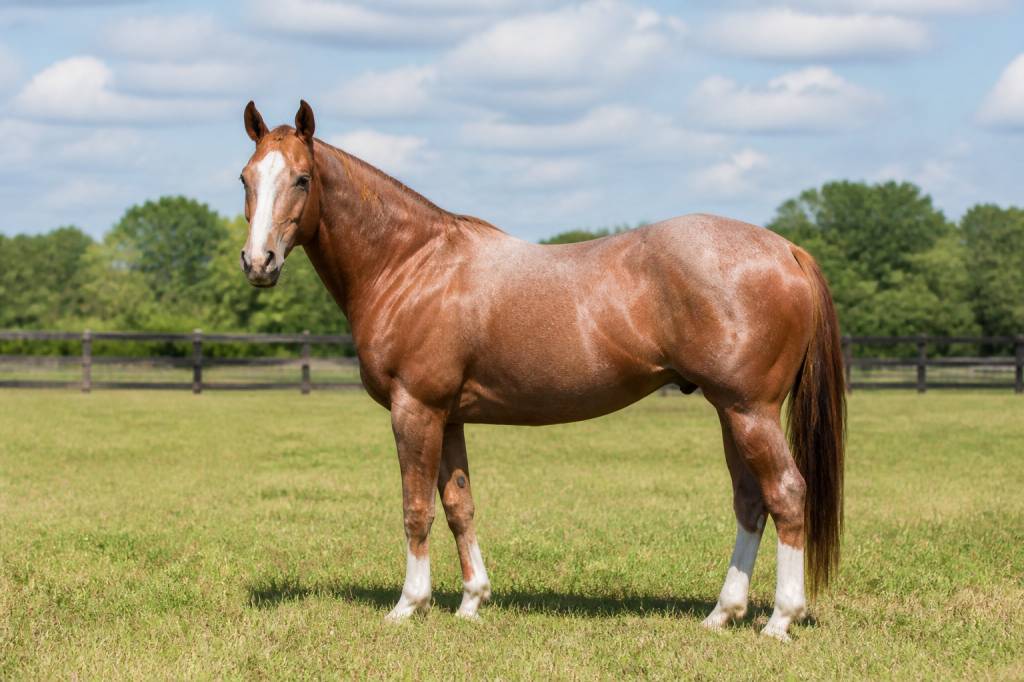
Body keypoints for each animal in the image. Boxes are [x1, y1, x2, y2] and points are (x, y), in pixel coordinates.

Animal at [237, 101, 845, 641]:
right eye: (246, 177)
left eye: (302, 178)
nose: (258, 262)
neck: (412, 265)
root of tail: (786, 249)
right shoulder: (449, 417)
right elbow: (459, 506)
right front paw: (472, 601)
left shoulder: (416, 410)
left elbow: (416, 509)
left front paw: (409, 605)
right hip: (729, 411)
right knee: (751, 501)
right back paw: (723, 613)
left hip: (750, 411)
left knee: (786, 493)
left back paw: (779, 619)